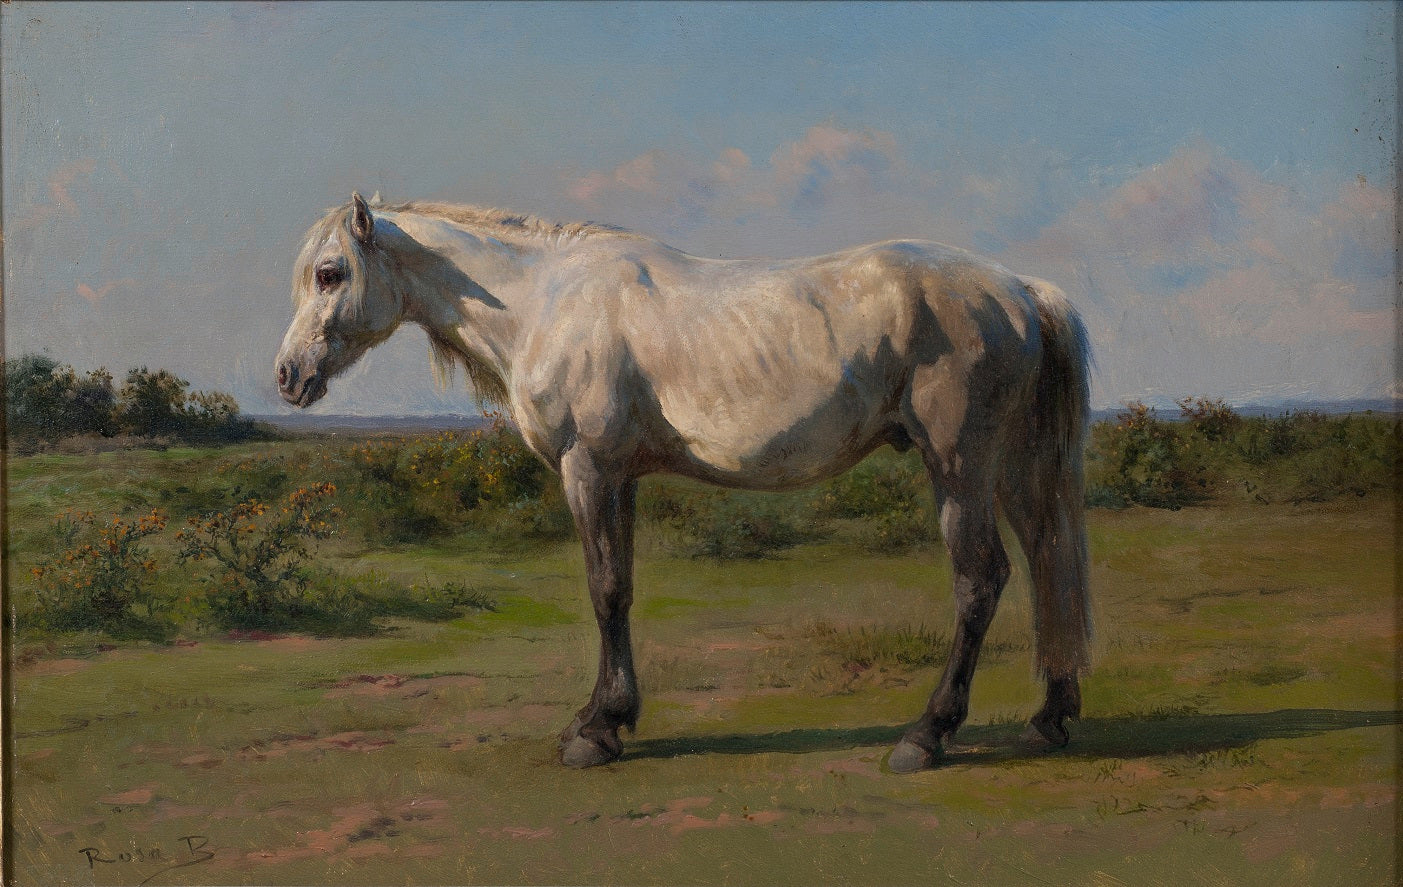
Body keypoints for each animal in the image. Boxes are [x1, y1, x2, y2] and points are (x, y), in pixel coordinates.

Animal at [275, 192, 1092, 772]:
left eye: (330, 273)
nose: (287, 376)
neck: (545, 300)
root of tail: (1021, 290)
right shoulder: (620, 477)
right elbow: (622, 587)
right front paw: (608, 718)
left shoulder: (588, 467)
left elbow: (604, 590)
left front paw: (596, 731)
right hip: (1013, 467)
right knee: (1047, 558)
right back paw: (1049, 717)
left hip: (958, 464)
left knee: (981, 579)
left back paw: (926, 735)